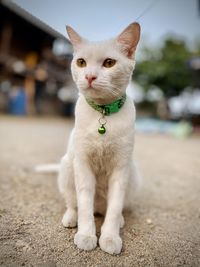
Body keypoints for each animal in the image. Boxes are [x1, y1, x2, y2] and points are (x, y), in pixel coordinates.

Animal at [57, 23, 141, 255]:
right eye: (81, 62)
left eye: (109, 63)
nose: (90, 76)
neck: (103, 113)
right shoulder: (83, 164)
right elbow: (84, 204)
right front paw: (86, 235)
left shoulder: (121, 168)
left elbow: (114, 208)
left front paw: (110, 237)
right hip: (67, 166)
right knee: (73, 202)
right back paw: (71, 218)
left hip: (133, 174)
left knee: (110, 209)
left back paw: (119, 220)